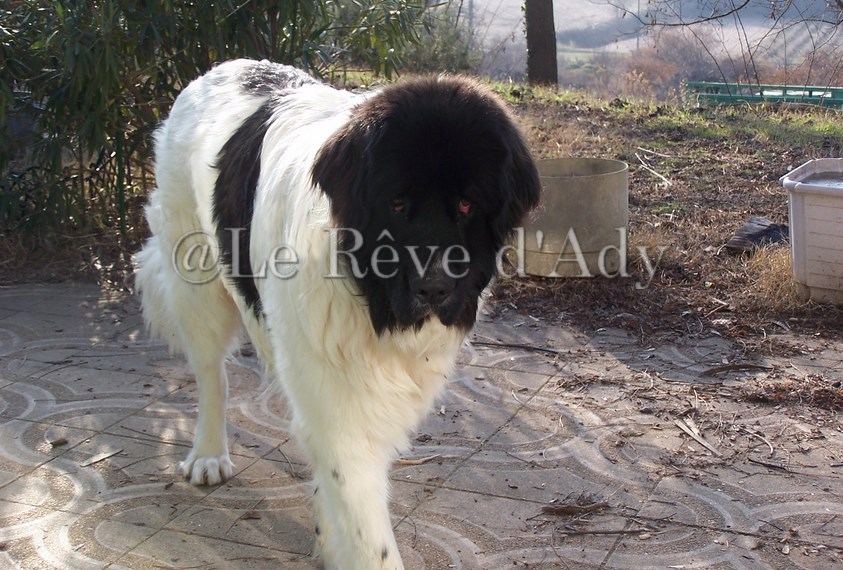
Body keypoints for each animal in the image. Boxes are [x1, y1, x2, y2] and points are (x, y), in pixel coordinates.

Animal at [135, 59, 540, 569]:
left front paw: (329, 535)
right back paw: (208, 454)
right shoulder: (339, 407)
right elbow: (370, 534)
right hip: (196, 280)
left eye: (467, 204)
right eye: (397, 204)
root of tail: (223, 67)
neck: (370, 300)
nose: (434, 287)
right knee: (211, 374)